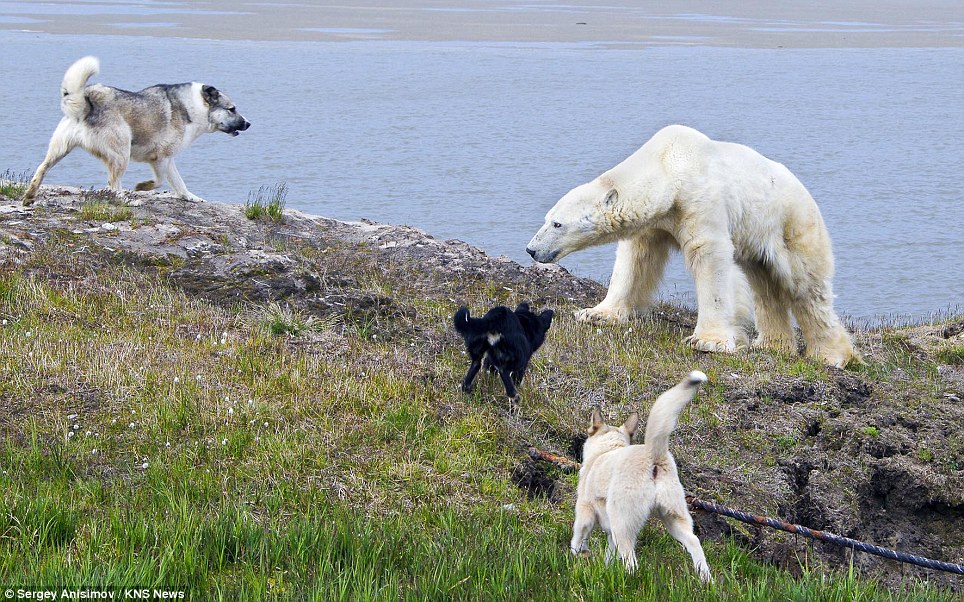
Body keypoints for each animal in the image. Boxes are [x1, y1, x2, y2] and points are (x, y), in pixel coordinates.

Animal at [528, 124, 860, 366]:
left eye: (557, 224)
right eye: (548, 218)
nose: (531, 249)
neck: (668, 165)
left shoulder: (700, 201)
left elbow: (710, 257)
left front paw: (708, 340)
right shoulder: (657, 221)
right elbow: (635, 259)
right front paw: (596, 313)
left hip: (791, 224)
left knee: (806, 286)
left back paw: (831, 355)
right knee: (764, 284)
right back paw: (772, 345)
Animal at [568, 368, 712, 580]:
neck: (607, 450)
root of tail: (653, 454)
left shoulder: (584, 511)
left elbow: (578, 537)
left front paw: (576, 556)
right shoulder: (610, 534)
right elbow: (610, 554)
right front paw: (606, 568)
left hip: (623, 524)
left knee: (631, 560)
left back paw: (628, 579)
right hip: (674, 519)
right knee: (695, 543)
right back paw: (705, 580)